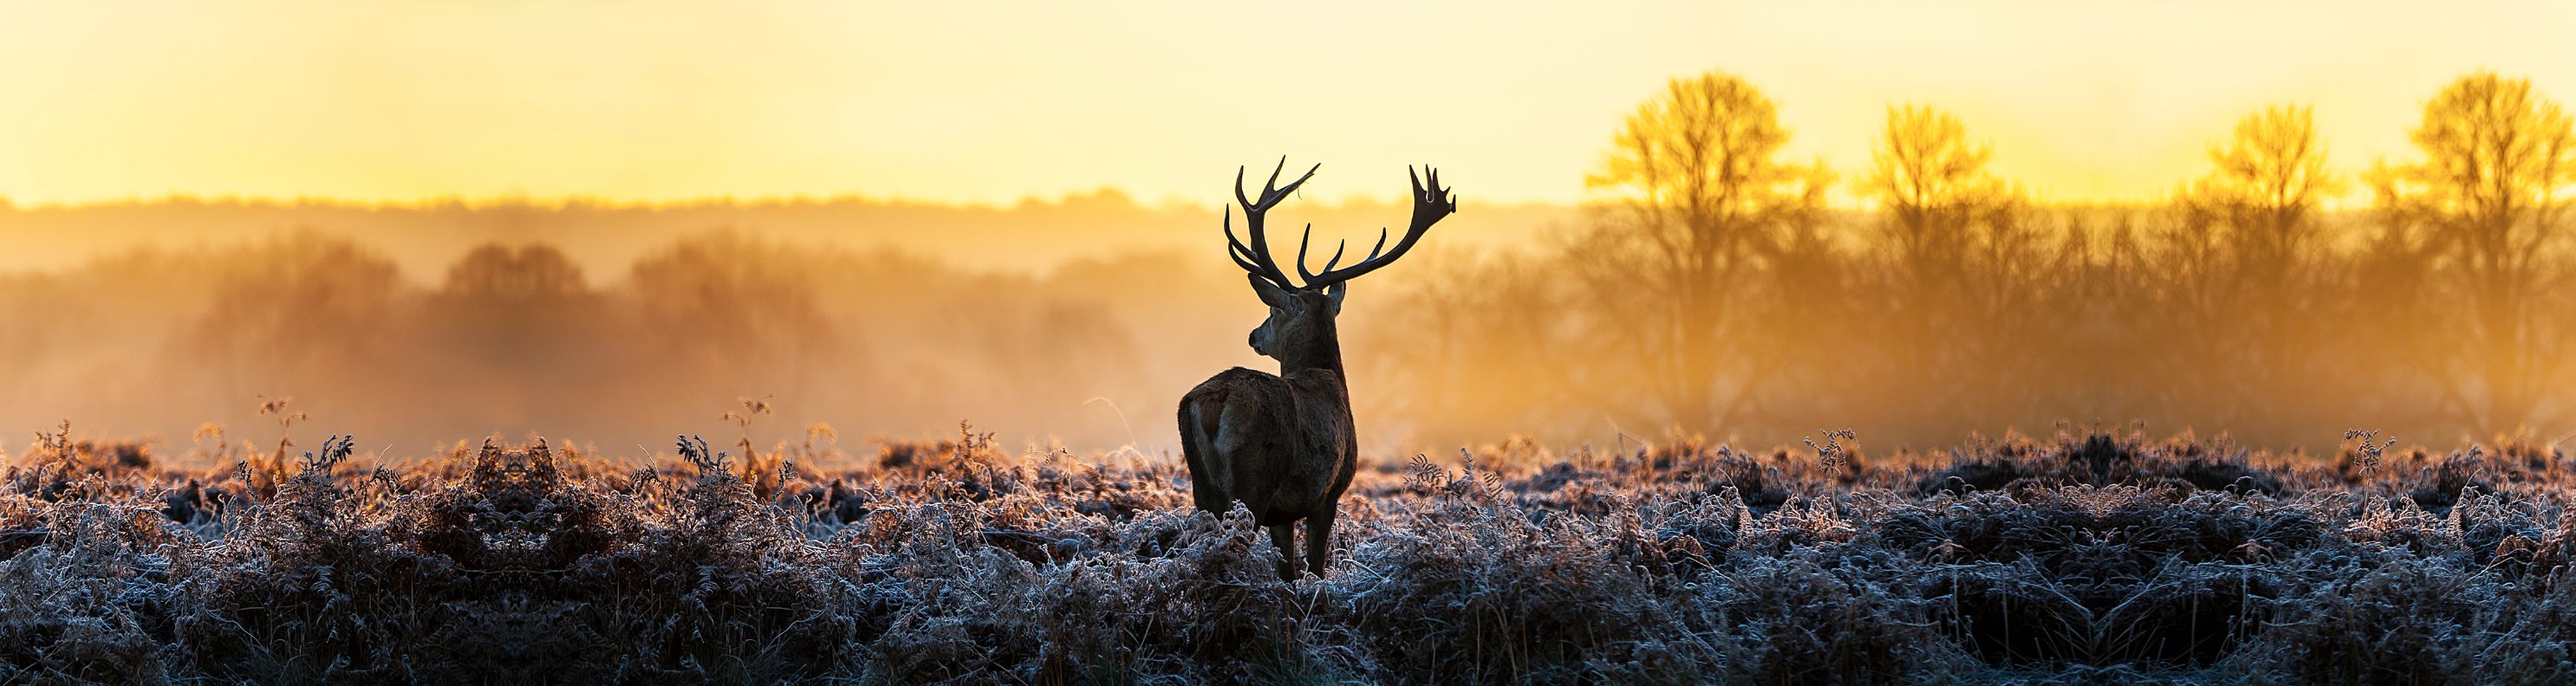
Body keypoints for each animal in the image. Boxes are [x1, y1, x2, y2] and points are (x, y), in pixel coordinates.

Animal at [1179, 158, 1456, 580]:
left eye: (1272, 310)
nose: (1254, 335)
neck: (1328, 377)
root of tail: (1213, 401)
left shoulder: (1285, 513)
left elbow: (1289, 570)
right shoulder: (1329, 493)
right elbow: (1315, 568)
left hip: (1203, 488)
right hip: (1254, 480)